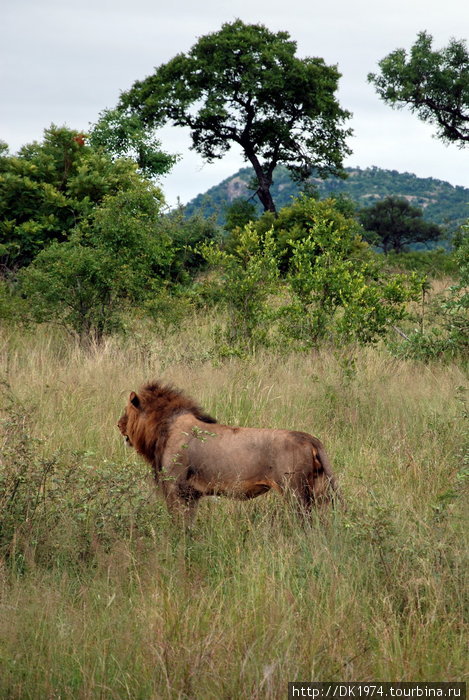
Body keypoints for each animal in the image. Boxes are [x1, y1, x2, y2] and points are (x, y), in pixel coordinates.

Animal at [117, 380, 340, 524]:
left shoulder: (176, 489)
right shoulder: (191, 494)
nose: (118, 425)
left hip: (295, 493)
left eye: (126, 411)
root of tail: (311, 439)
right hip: (318, 490)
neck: (163, 427)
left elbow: (179, 525)